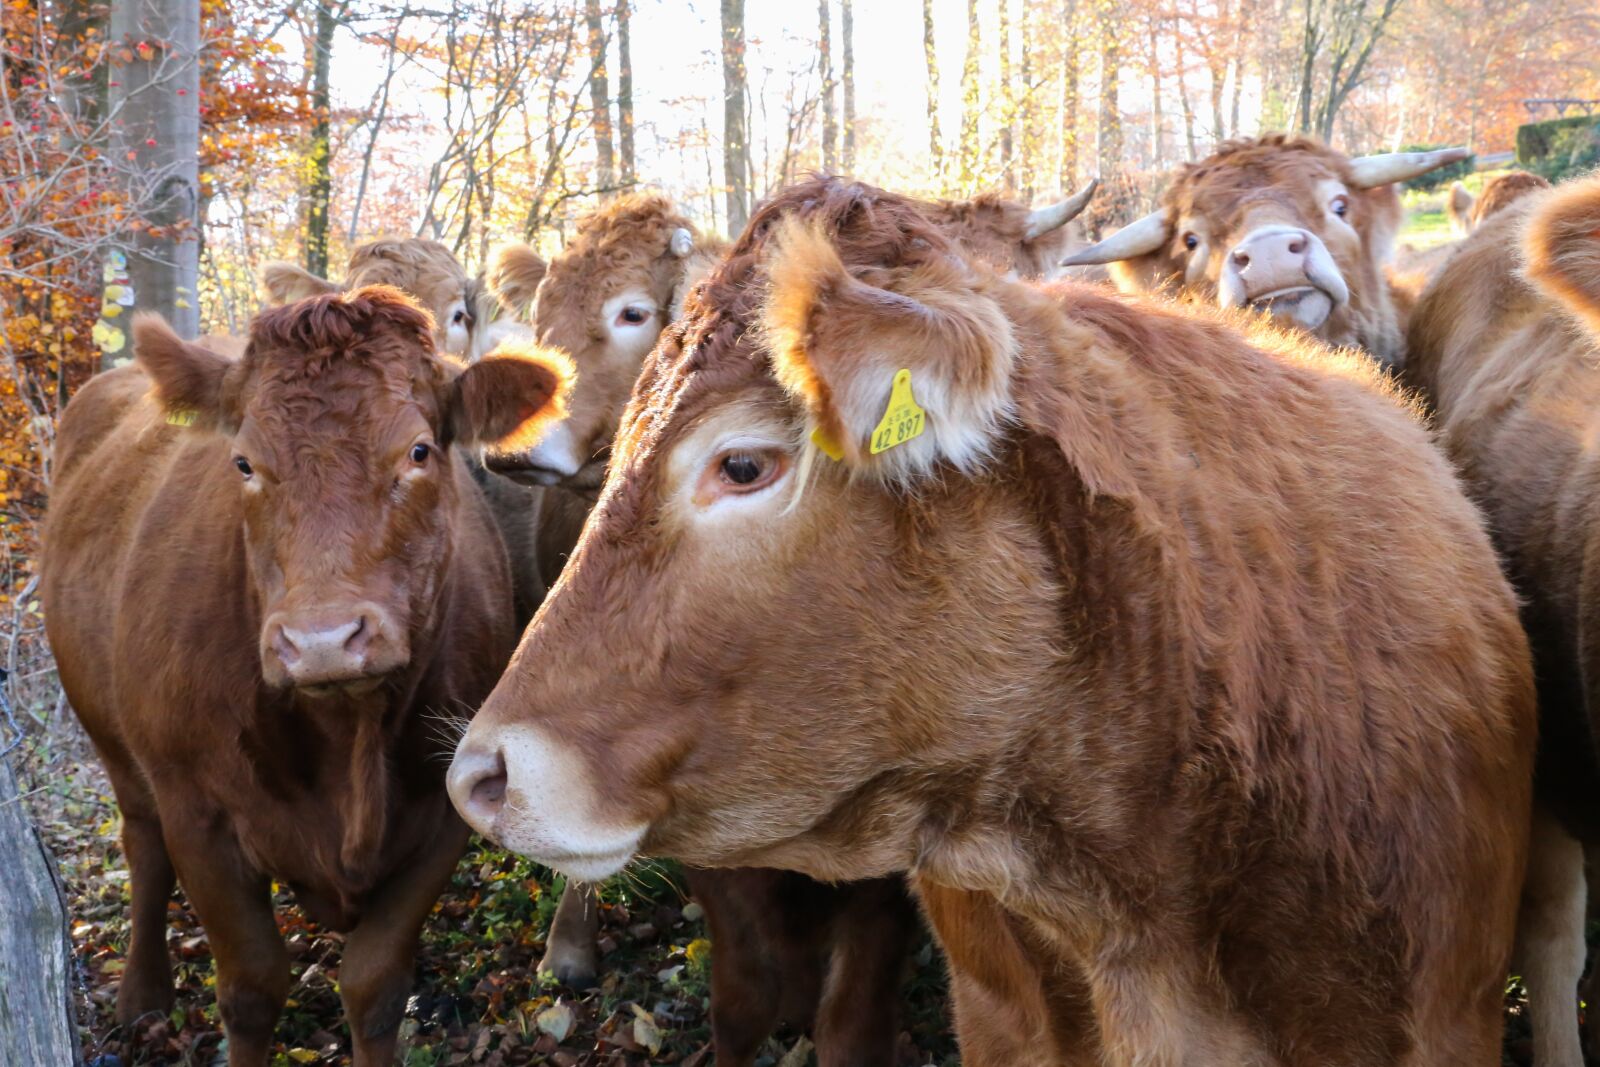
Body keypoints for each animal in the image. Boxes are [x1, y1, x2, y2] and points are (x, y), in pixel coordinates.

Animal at [41, 287, 566, 1066]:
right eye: (243, 463)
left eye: (418, 451)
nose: (322, 641)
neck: (346, 739)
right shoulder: (197, 811)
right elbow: (251, 986)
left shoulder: (444, 808)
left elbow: (374, 986)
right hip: (114, 741)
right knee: (143, 846)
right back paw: (143, 995)